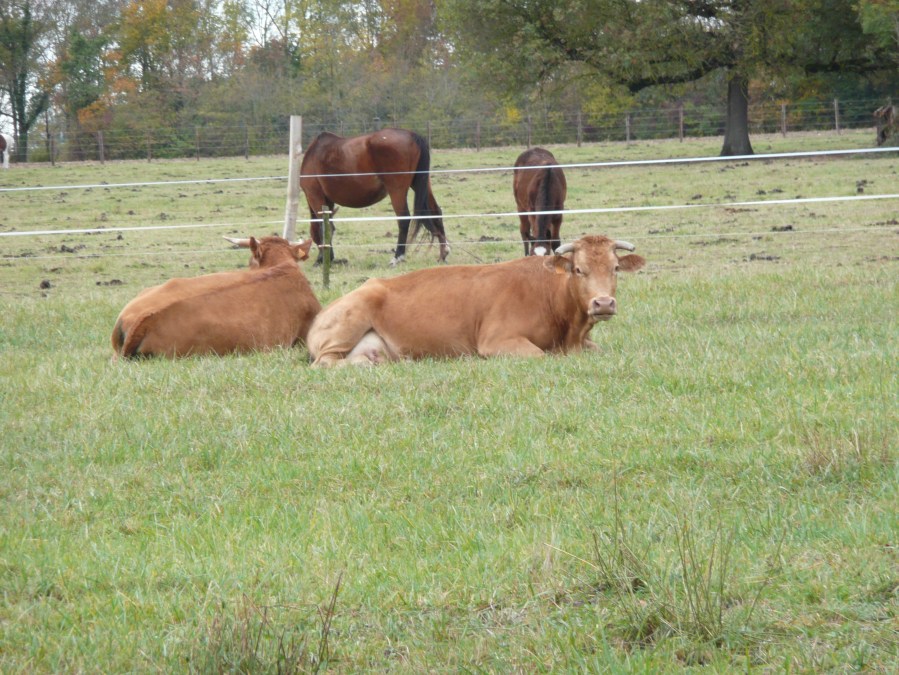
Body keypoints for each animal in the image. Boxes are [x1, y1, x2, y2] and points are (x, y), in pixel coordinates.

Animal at [307, 234, 645, 367]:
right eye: (578, 269)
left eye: (615, 268)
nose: (603, 303)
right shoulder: (498, 341)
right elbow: (540, 355)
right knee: (324, 362)